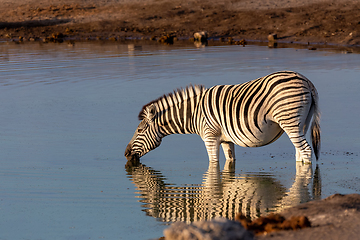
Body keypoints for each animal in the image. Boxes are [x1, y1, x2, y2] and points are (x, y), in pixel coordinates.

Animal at [126, 71, 320, 165]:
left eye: (140, 130)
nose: (126, 154)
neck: (194, 114)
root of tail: (306, 81)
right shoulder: (227, 139)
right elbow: (230, 162)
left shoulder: (210, 137)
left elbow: (213, 164)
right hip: (301, 124)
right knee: (300, 152)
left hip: (290, 121)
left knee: (306, 151)